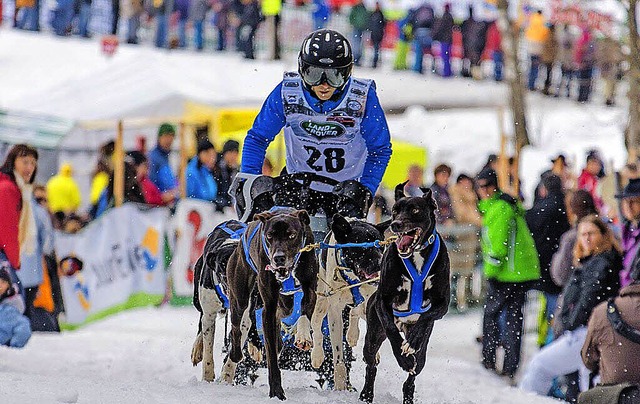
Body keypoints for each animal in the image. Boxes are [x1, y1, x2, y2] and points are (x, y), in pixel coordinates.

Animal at [221, 208, 318, 400]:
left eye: (291, 235)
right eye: (269, 236)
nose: (278, 258)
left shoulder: (311, 287)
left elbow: (306, 310)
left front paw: (303, 335)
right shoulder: (269, 308)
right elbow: (271, 355)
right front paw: (276, 391)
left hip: (284, 304)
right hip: (239, 297)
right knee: (236, 327)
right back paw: (235, 354)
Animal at [360, 183, 450, 404]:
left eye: (415, 210)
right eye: (394, 210)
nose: (396, 224)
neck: (416, 255)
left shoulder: (442, 304)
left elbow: (426, 316)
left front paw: (413, 342)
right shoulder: (383, 302)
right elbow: (392, 330)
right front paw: (402, 358)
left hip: (423, 355)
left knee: (414, 371)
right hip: (372, 337)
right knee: (371, 364)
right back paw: (367, 393)